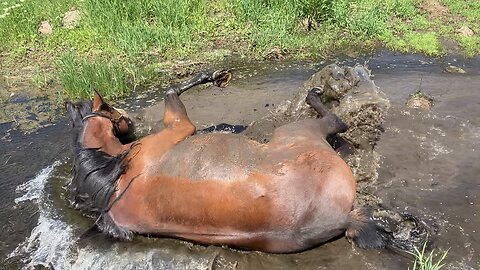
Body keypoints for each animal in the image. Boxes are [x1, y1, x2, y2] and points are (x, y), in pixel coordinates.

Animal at [64, 69, 394, 253]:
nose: (129, 120)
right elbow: (172, 90)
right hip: (299, 132)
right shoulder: (180, 126)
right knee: (337, 121)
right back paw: (316, 94)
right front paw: (212, 76)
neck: (112, 174)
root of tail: (342, 219)